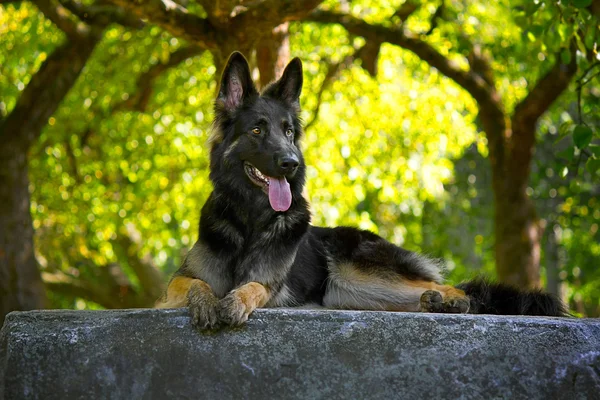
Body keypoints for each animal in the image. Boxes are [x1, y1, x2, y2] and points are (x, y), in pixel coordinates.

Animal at [156, 52, 568, 328]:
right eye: (257, 130)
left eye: (288, 131)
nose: (291, 163)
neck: (249, 221)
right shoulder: (172, 286)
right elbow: (194, 283)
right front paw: (206, 301)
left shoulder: (274, 286)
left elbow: (253, 287)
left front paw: (236, 301)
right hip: (351, 292)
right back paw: (431, 303)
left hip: (358, 272)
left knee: (458, 289)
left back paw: (450, 302)